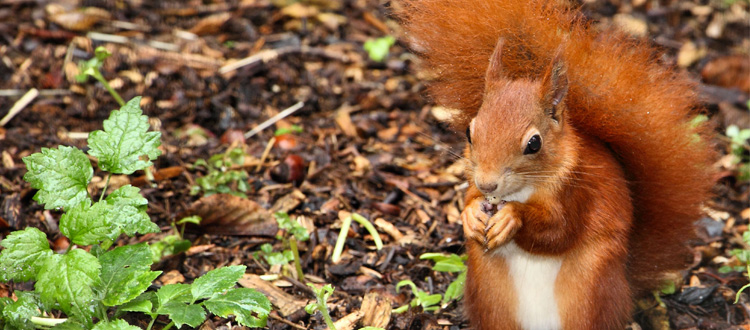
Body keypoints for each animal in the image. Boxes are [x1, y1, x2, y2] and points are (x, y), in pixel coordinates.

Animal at [400, 0, 716, 328]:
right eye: (469, 132)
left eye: (534, 143)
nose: (488, 183)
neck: (523, 189)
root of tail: (626, 289)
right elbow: (470, 199)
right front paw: (471, 215)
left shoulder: (578, 192)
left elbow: (559, 232)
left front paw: (513, 216)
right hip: (490, 292)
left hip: (589, 289)